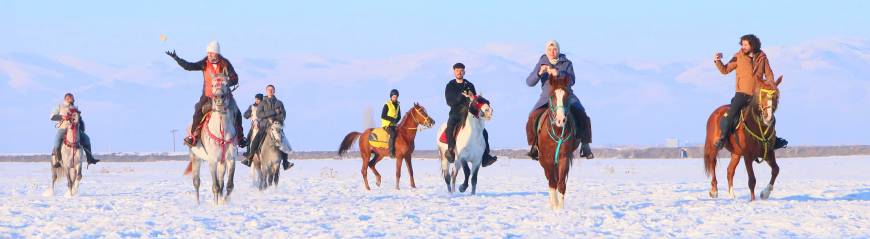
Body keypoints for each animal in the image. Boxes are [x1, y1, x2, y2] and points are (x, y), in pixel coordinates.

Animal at [536, 75, 584, 210]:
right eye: (552, 96)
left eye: (566, 96)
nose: (560, 120)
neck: (557, 131)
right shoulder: (547, 159)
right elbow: (552, 183)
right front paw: (554, 206)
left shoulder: (564, 157)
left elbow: (561, 183)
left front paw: (560, 209)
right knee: (550, 180)